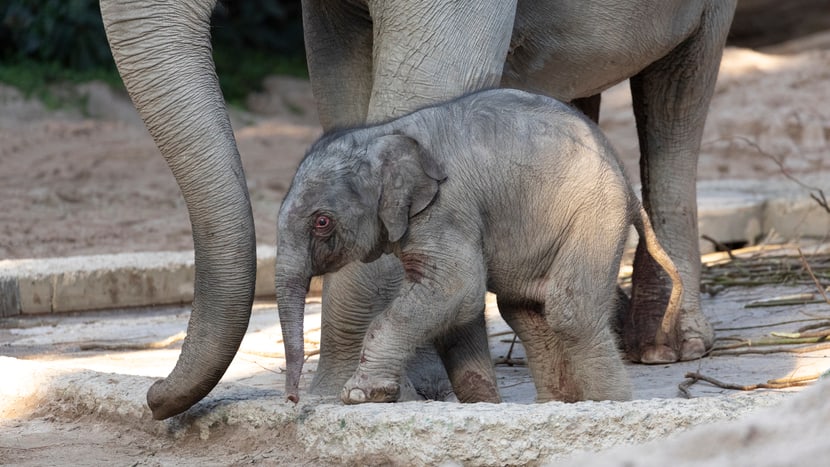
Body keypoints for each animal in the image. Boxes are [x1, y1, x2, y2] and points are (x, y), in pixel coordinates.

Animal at [276, 89, 680, 404]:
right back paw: (555, 404)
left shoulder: (447, 208)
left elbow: (457, 288)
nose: (292, 399)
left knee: (570, 311)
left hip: (595, 214)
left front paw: (360, 395)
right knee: (524, 311)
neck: (384, 133)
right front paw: (484, 403)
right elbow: (457, 309)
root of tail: (627, 184)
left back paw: (608, 403)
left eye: (322, 222)